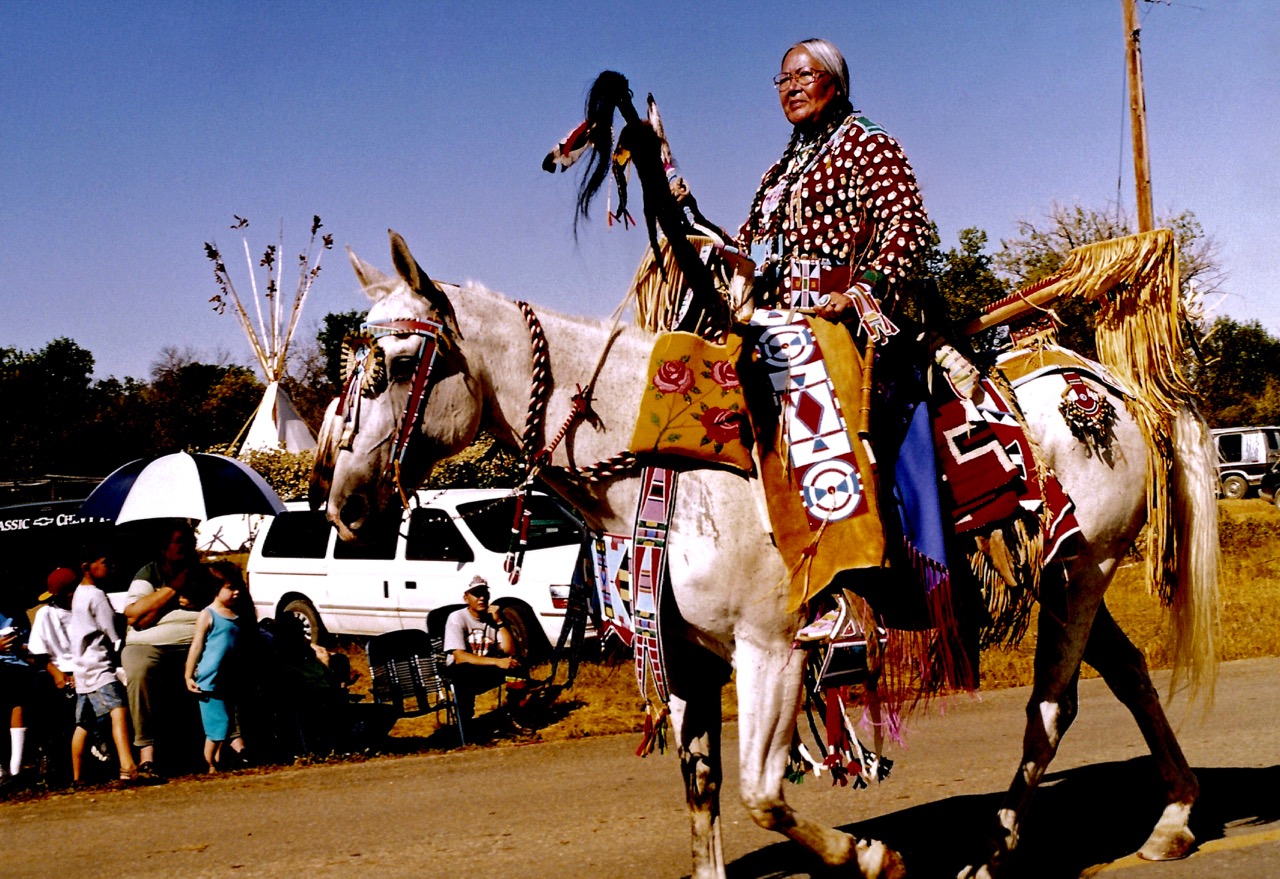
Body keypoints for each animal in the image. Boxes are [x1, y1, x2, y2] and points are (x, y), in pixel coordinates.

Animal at [314, 234, 1213, 879]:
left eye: (399, 364)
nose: (344, 502)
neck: (667, 462)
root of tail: (1108, 386)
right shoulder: (687, 657)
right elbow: (704, 788)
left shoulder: (773, 649)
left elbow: (760, 794)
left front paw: (873, 856)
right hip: (1074, 574)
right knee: (1127, 674)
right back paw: (1171, 819)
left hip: (1078, 574)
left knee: (1050, 710)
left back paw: (992, 853)